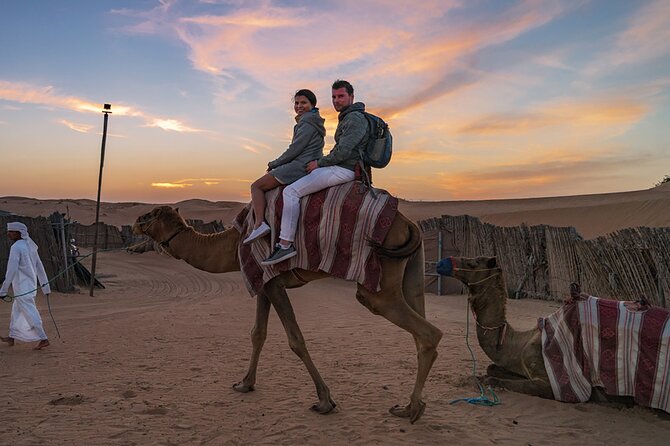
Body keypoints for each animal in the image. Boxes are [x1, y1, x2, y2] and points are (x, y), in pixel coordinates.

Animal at [133, 205, 442, 423]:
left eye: (151, 214)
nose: (136, 221)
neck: (232, 243)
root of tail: (409, 224)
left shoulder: (272, 282)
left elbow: (296, 340)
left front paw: (325, 401)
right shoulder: (263, 281)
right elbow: (258, 334)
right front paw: (245, 384)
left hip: (380, 281)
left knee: (426, 331)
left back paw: (412, 409)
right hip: (411, 267)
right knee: (421, 325)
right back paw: (411, 406)